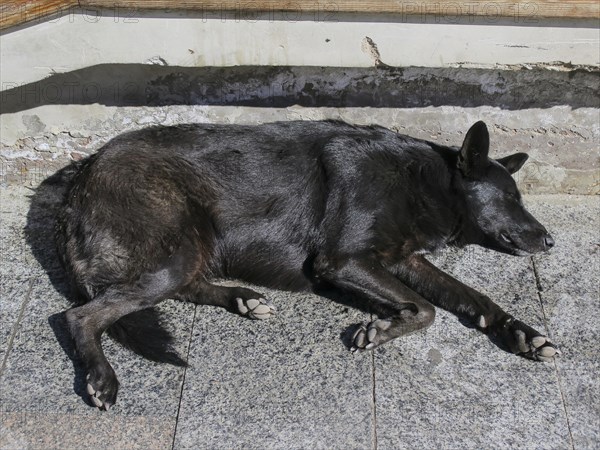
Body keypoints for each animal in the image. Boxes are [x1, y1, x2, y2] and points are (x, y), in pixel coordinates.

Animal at [56, 121, 556, 410]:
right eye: (512, 199)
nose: (551, 240)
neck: (421, 181)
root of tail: (82, 176)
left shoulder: (405, 260)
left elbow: (470, 297)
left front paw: (521, 333)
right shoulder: (344, 260)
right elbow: (426, 310)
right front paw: (381, 329)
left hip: (192, 250)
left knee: (186, 285)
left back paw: (243, 299)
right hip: (173, 253)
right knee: (81, 315)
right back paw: (101, 377)